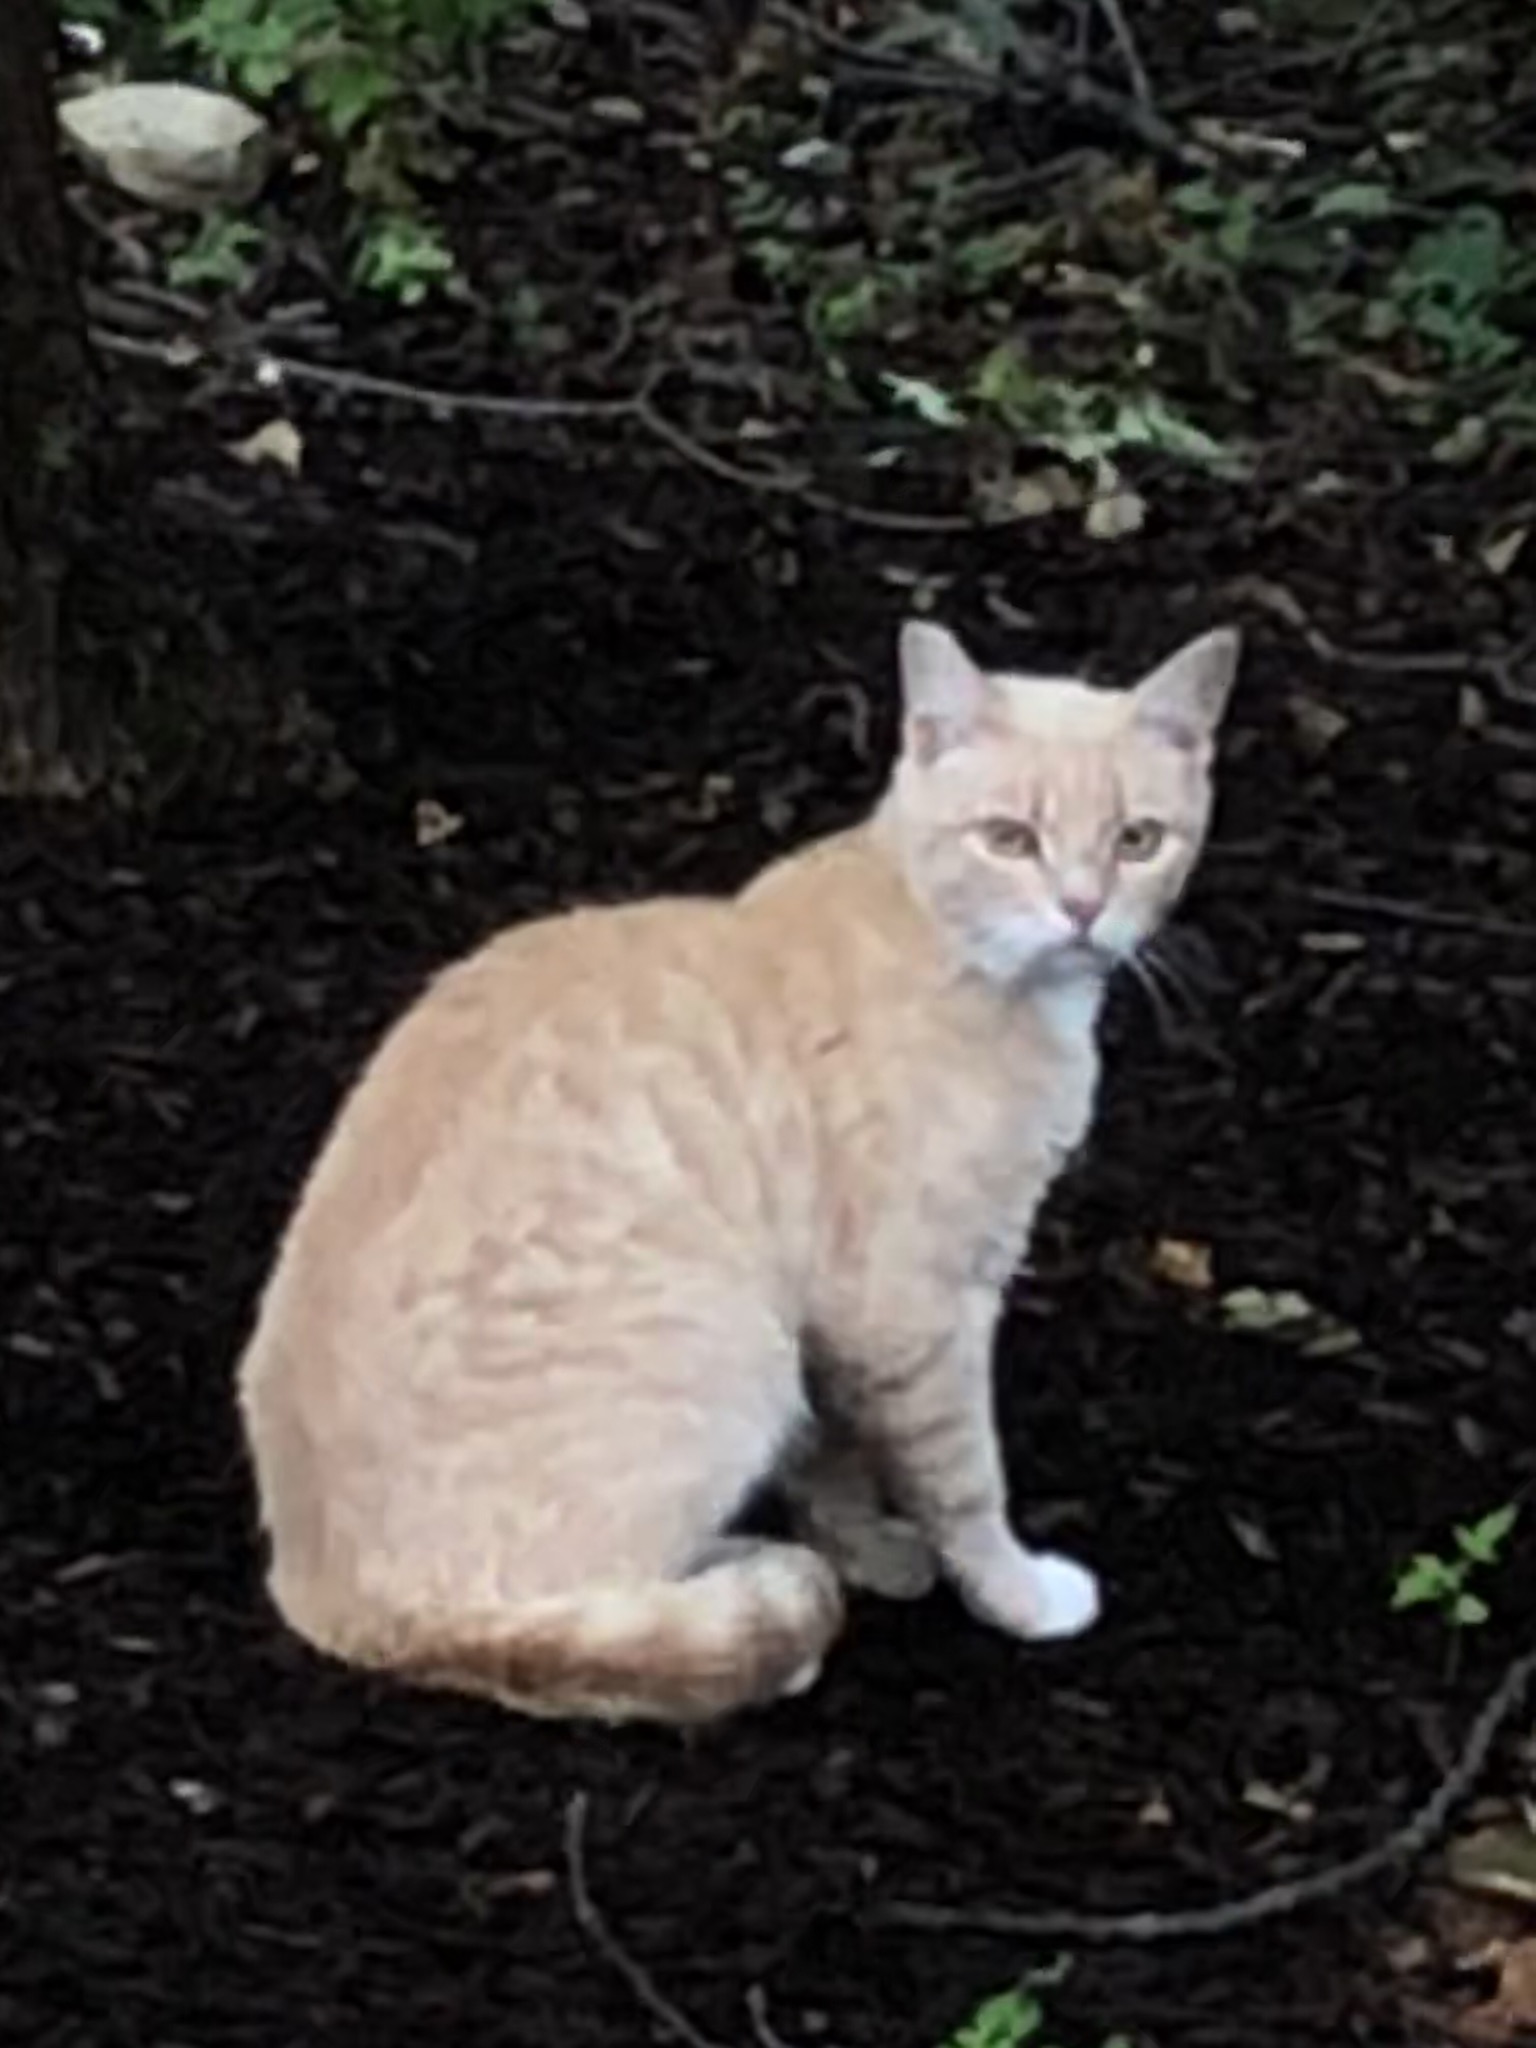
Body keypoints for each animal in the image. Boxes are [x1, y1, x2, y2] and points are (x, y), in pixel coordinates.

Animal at [237, 615, 1239, 1725]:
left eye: (1137, 839)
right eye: (1009, 838)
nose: (1083, 907)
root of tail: (323, 1595)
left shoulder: (835, 1320)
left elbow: (838, 1458)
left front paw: (868, 1548)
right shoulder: (913, 1308)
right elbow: (965, 1479)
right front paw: (1011, 1592)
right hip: (735, 1360)